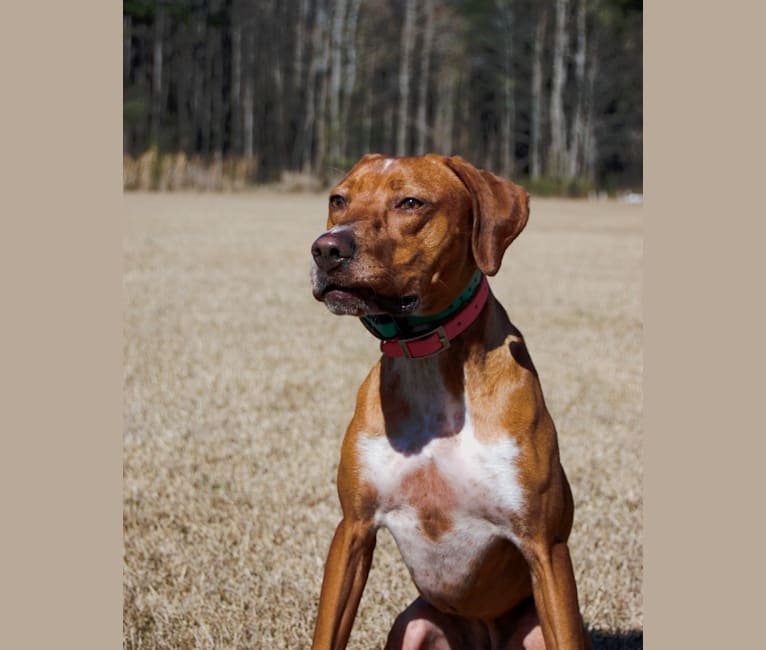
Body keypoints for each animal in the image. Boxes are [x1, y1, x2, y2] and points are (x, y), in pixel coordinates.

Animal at [308, 156, 592, 648]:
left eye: (410, 202)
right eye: (338, 199)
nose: (326, 249)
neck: (429, 361)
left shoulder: (545, 545)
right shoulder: (353, 530)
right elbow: (328, 630)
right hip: (416, 624)